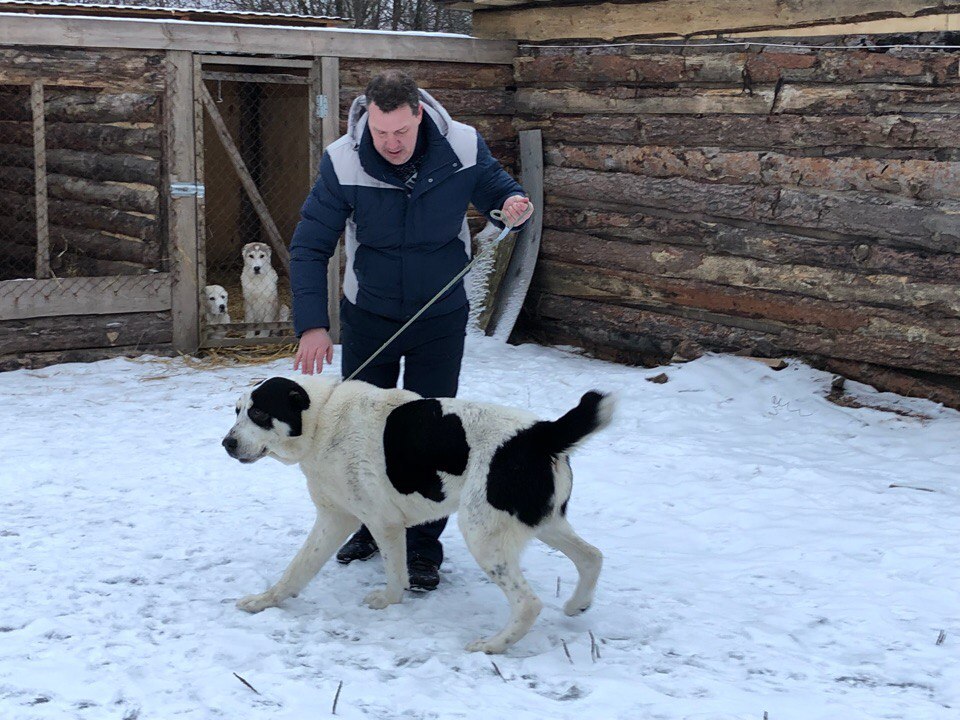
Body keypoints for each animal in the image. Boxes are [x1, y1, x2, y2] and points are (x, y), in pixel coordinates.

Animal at [223, 376, 616, 652]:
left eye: (259, 413)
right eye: (236, 410)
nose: (227, 443)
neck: (321, 419)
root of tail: (541, 433)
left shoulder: (383, 522)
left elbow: (397, 573)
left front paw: (388, 601)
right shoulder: (336, 518)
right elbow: (297, 570)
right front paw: (264, 602)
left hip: (483, 534)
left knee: (528, 603)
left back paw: (491, 645)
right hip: (543, 523)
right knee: (592, 556)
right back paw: (577, 605)